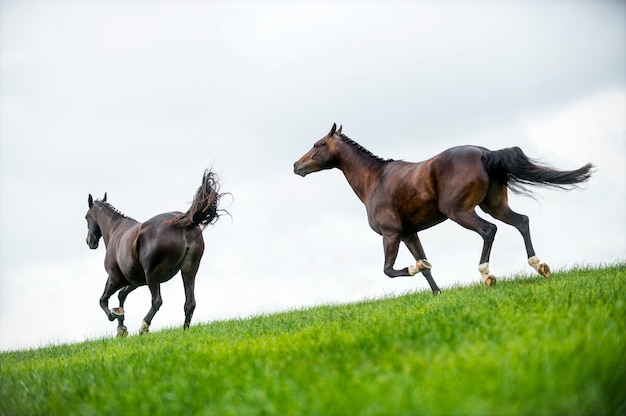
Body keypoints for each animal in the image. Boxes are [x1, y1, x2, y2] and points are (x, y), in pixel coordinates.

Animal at [85, 168, 224, 334]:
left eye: (86, 217)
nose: (89, 241)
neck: (115, 229)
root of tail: (183, 221)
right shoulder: (134, 282)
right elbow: (121, 296)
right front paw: (121, 327)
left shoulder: (114, 278)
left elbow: (103, 300)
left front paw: (115, 316)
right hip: (189, 270)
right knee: (190, 303)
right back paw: (184, 330)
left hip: (153, 275)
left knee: (157, 301)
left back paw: (144, 327)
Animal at [292, 123, 588, 292]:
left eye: (318, 144)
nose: (297, 165)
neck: (374, 180)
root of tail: (484, 152)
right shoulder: (409, 234)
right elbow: (426, 268)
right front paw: (437, 293)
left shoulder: (391, 234)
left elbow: (390, 270)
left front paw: (417, 268)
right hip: (494, 206)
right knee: (522, 221)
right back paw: (540, 266)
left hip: (460, 212)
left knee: (489, 230)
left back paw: (487, 276)